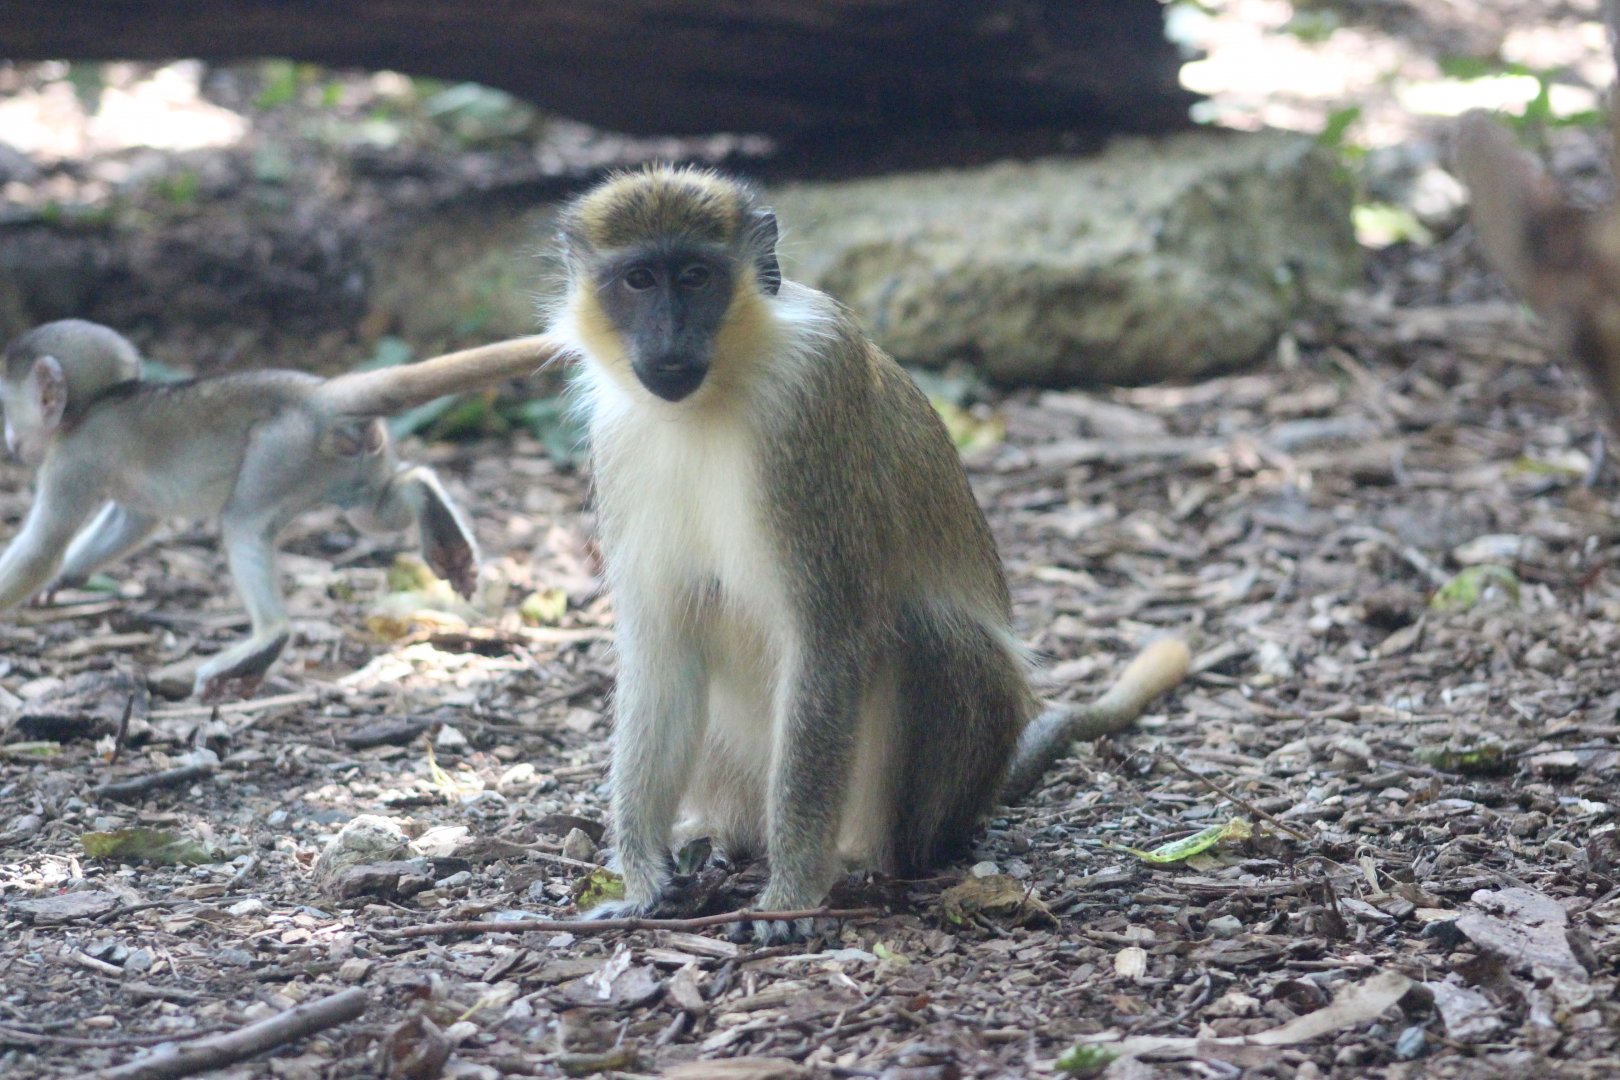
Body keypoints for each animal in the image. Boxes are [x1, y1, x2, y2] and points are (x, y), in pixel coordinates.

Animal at [0, 320, 567, 699]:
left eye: (10, 412)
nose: (11, 443)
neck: (102, 403)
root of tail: (318, 394)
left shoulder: (72, 458)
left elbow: (41, 552)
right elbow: (136, 518)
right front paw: (67, 578)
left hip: (284, 450)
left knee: (244, 524)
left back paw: (267, 635)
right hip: (354, 454)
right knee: (379, 507)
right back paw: (432, 513)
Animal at [548, 166, 1190, 943]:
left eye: (696, 276)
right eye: (639, 280)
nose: (668, 339)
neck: (715, 392)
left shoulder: (811, 402)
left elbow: (830, 638)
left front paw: (790, 895)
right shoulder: (620, 436)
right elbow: (664, 649)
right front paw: (644, 879)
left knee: (928, 639)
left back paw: (879, 865)